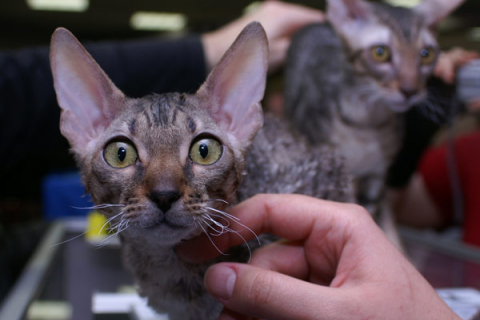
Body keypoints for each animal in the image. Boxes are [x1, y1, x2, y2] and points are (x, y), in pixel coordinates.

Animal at [284, 0, 464, 241]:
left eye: (426, 54)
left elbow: (366, 208)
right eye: (380, 52)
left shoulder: (377, 175)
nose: (410, 90)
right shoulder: (332, 171)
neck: (369, 125)